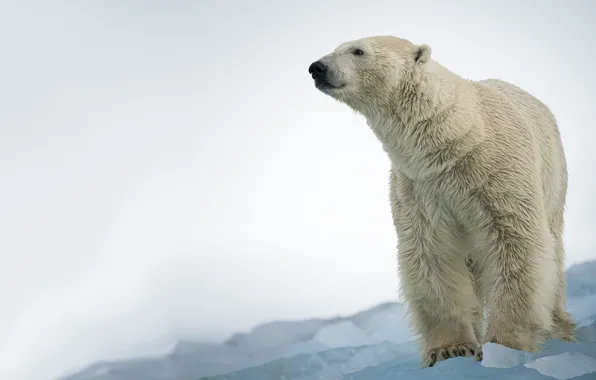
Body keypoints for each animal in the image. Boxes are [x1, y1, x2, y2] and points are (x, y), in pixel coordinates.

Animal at [310, 36, 576, 368]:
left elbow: (515, 244)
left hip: (553, 180)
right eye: (336, 48)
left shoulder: (499, 172)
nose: (317, 67)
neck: (453, 140)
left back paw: (559, 328)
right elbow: (432, 255)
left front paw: (506, 344)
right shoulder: (420, 189)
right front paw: (451, 349)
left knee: (552, 249)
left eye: (358, 50)